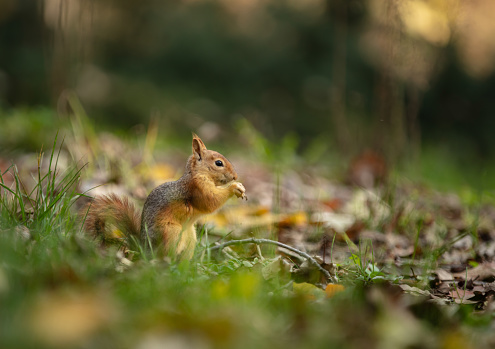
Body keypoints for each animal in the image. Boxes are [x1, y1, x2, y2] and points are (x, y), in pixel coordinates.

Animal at [85, 133, 250, 258]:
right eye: (218, 163)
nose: (235, 176)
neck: (199, 174)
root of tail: (144, 247)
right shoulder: (198, 189)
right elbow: (211, 201)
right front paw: (234, 187)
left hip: (190, 237)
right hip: (170, 233)